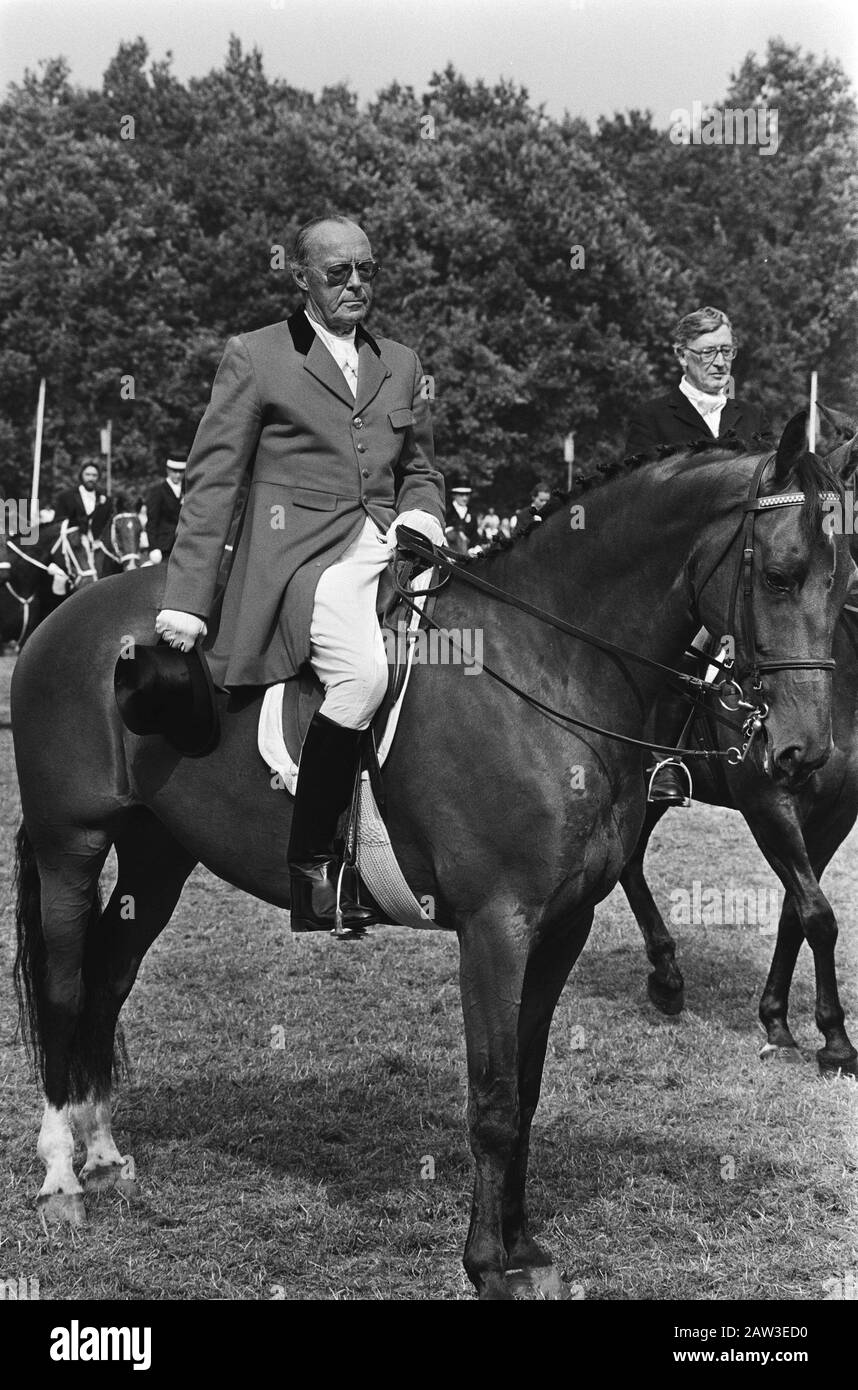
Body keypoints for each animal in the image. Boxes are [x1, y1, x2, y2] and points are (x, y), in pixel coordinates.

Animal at [620, 408, 856, 1073]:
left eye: (848, 577)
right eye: (776, 577)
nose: (802, 748)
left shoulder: (836, 812)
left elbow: (796, 913)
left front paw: (779, 1019)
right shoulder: (768, 801)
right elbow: (818, 913)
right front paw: (835, 1039)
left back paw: (667, 975)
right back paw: (666, 976)